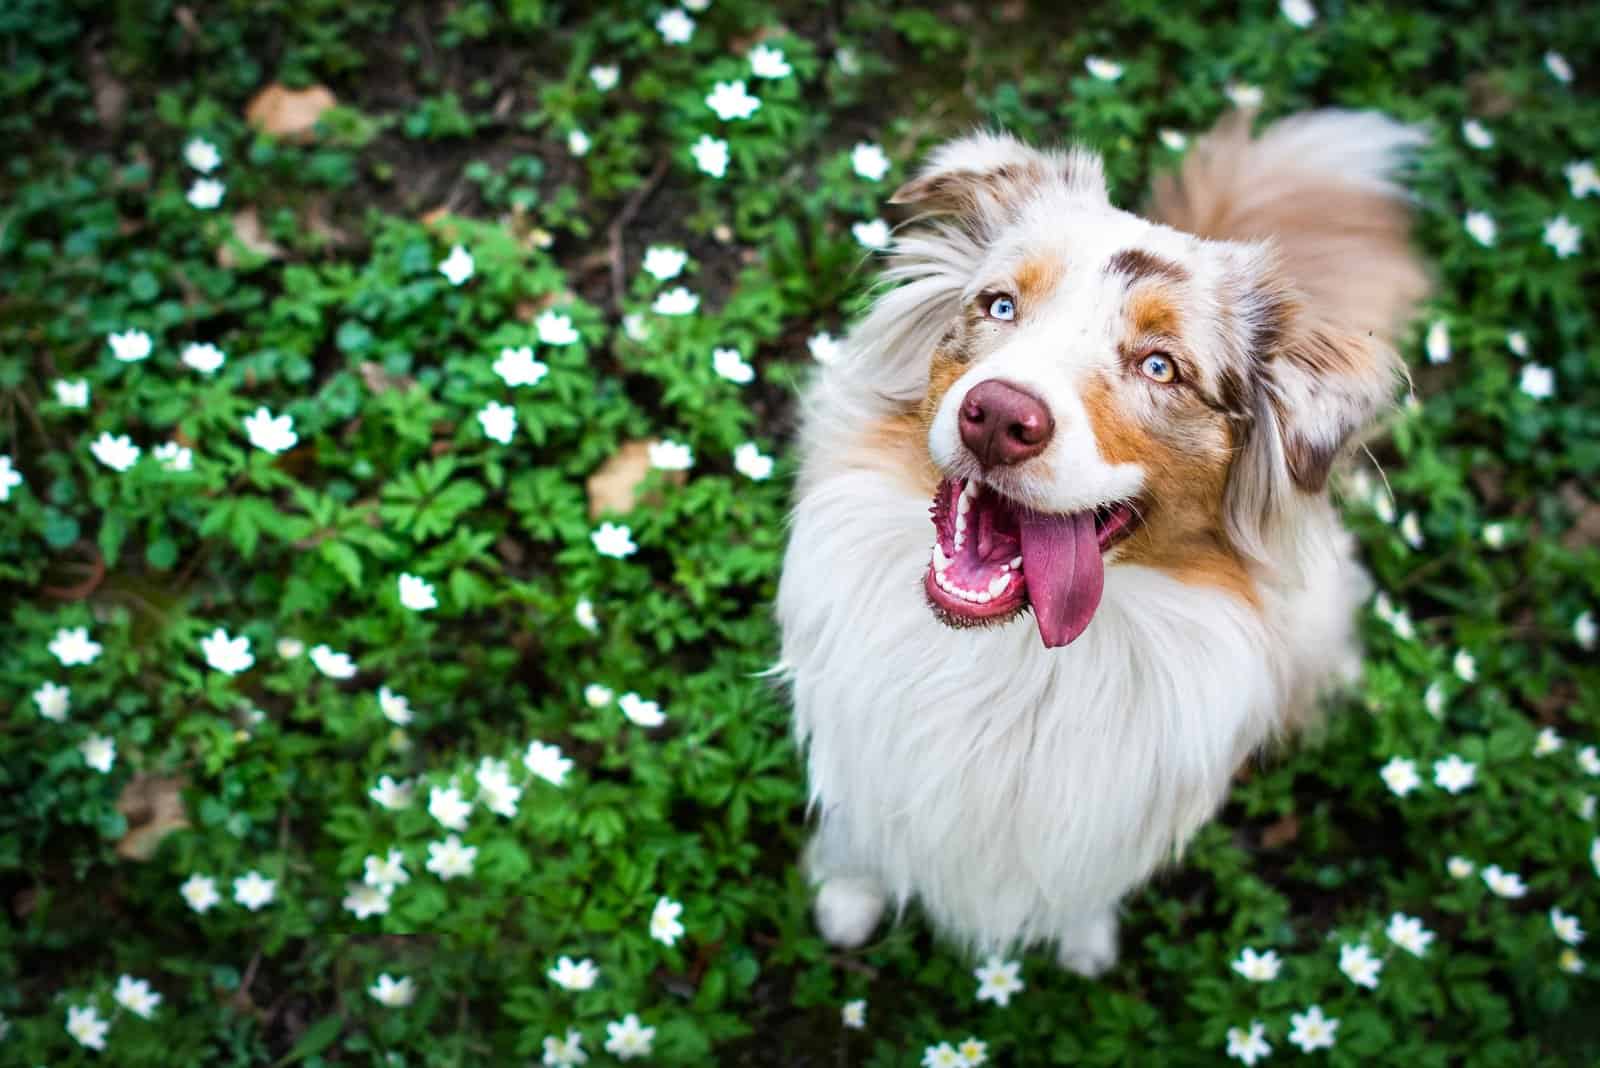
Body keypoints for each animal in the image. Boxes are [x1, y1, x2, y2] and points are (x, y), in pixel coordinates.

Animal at [771, 110, 1427, 978]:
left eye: (1161, 367)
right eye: (1001, 306)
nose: (998, 416)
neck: (1018, 661)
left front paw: (1084, 942)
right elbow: (860, 829)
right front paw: (848, 898)